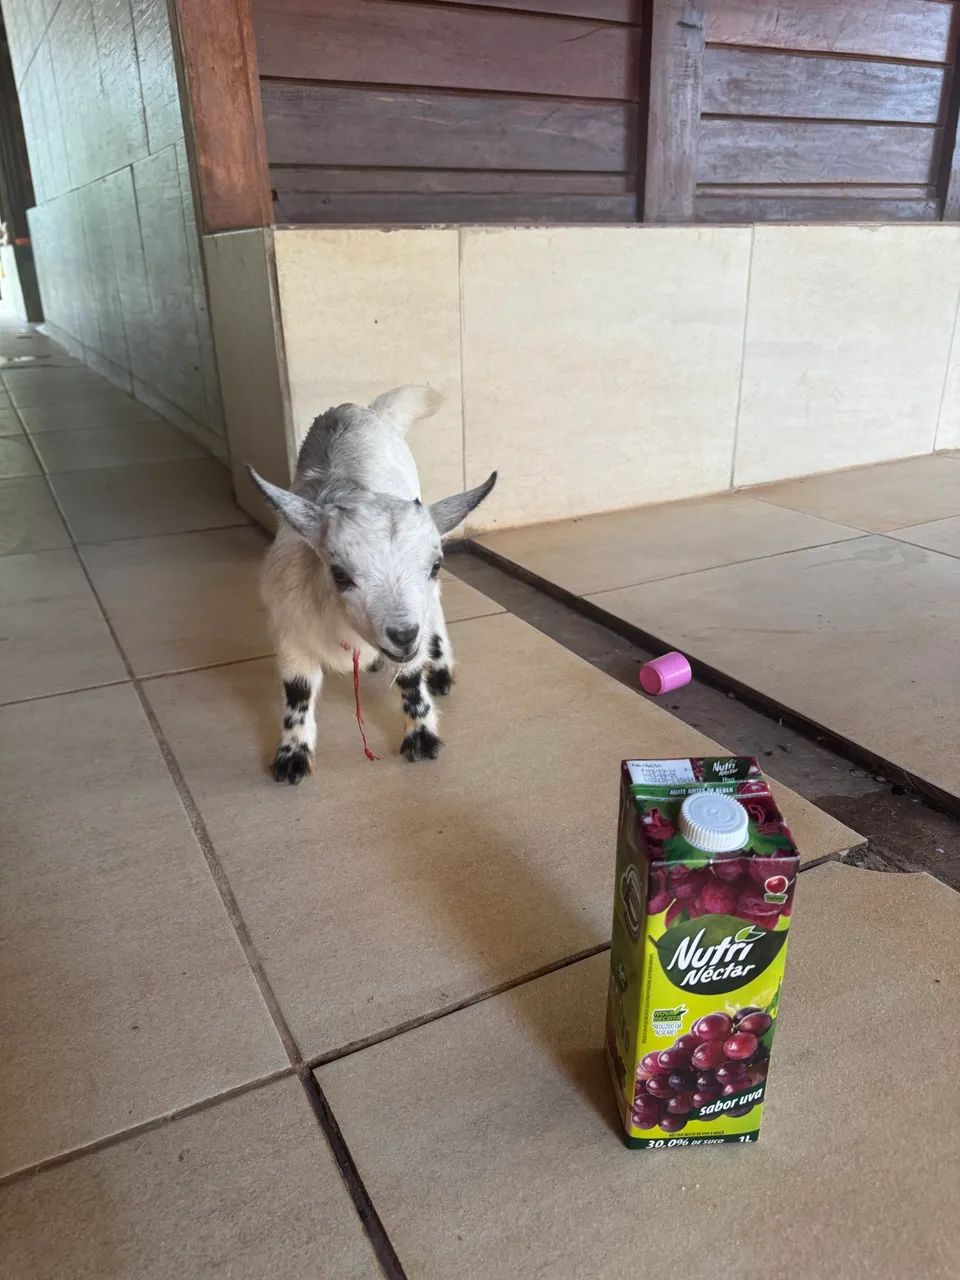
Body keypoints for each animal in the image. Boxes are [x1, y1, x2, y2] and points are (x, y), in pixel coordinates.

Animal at [248, 386, 497, 784]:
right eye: (339, 574)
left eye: (436, 565)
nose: (403, 635)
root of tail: (360, 409)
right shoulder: (290, 632)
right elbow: (298, 690)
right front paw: (292, 757)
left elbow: (411, 678)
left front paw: (422, 739)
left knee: (436, 613)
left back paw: (440, 668)